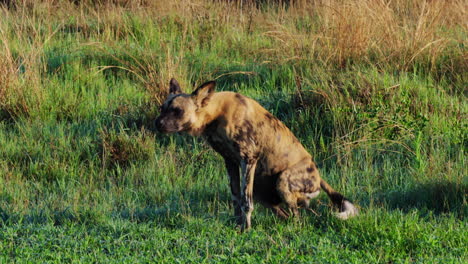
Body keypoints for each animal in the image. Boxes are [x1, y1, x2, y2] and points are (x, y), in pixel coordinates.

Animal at [156, 79, 358, 231]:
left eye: (178, 111)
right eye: (162, 108)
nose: (157, 123)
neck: (215, 114)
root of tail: (318, 176)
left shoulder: (248, 160)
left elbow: (246, 201)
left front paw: (246, 230)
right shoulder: (230, 162)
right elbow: (236, 197)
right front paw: (236, 226)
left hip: (282, 181)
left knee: (297, 217)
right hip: (262, 188)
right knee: (292, 214)